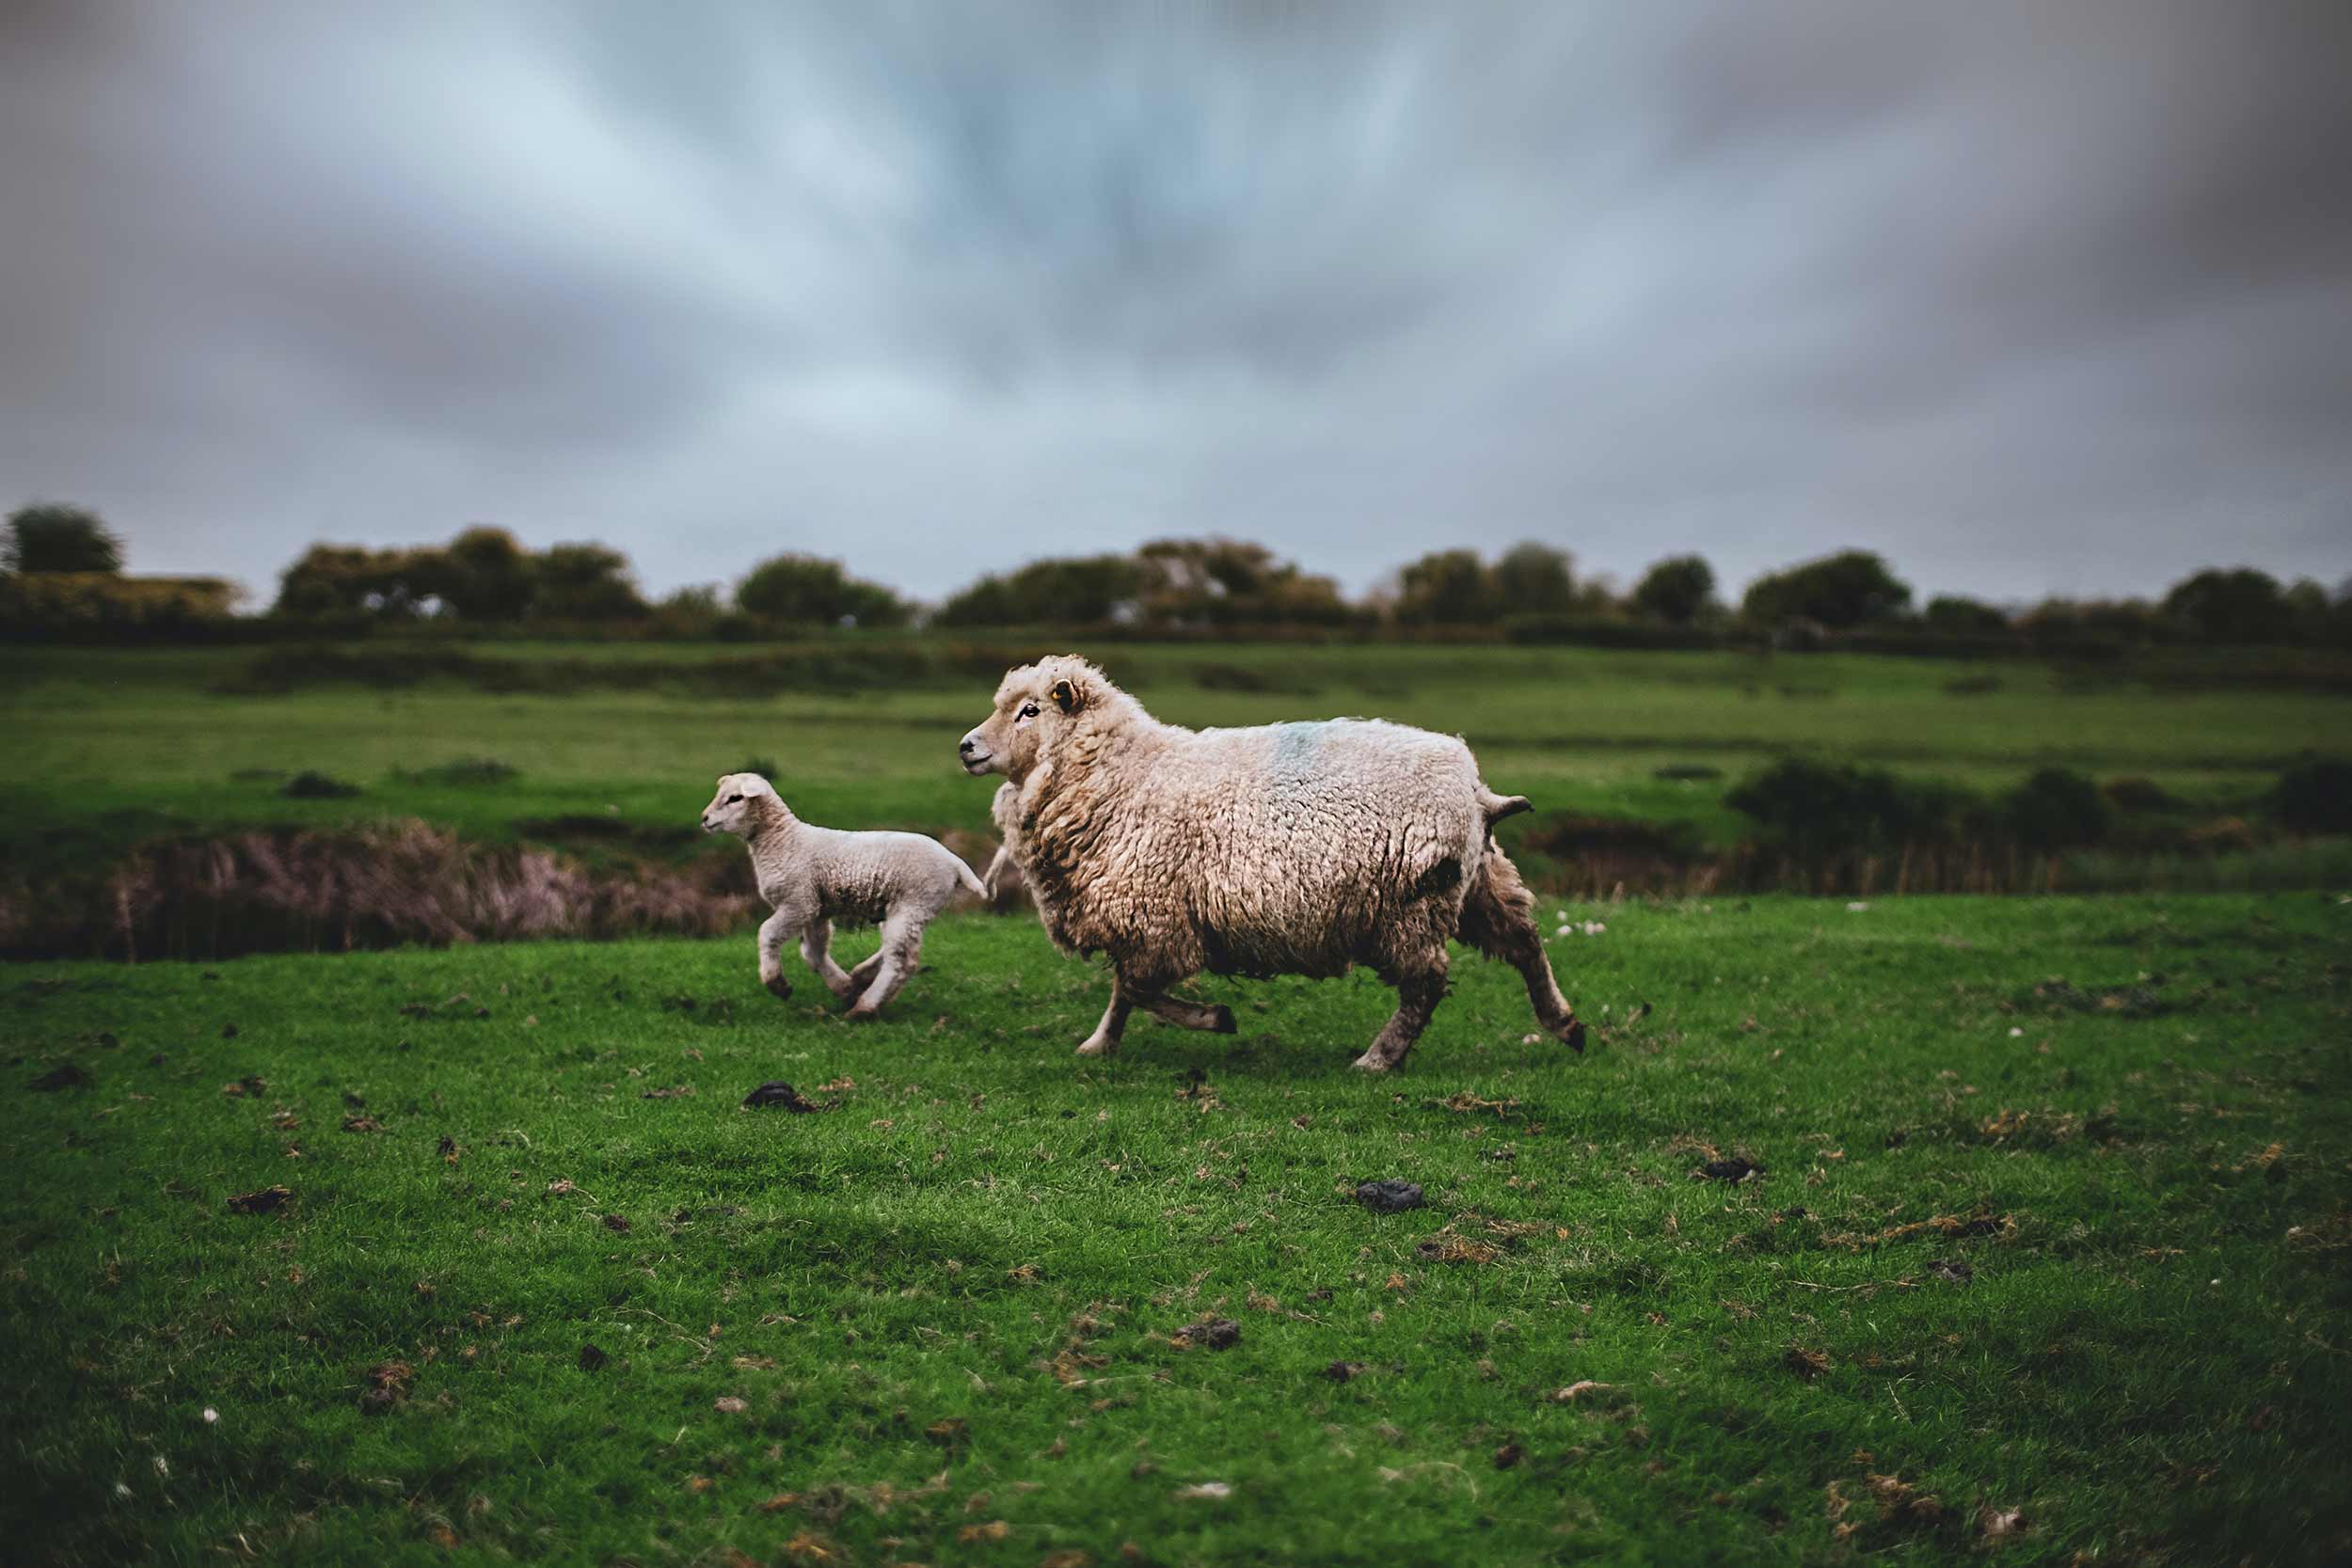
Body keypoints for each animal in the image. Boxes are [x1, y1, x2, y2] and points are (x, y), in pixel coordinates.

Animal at [701, 780, 988, 1024]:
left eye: (735, 798)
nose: (704, 819)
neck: (782, 840)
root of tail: (955, 862)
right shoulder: (815, 907)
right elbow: (814, 953)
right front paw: (844, 988)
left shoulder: (798, 901)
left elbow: (767, 933)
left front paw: (777, 984)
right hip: (914, 909)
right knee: (906, 952)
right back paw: (863, 978)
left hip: (912, 904)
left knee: (901, 961)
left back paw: (865, 1007)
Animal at [950, 657, 1581, 1071]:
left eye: (1030, 711)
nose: (966, 747)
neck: (1122, 773)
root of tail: (1475, 788)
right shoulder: (1142, 921)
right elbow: (1123, 993)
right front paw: (1100, 1045)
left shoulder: (1156, 920)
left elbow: (1136, 989)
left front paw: (1215, 1018)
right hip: (1477, 886)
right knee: (1525, 942)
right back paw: (1565, 1024)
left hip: (1411, 906)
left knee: (1424, 987)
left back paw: (1378, 1059)